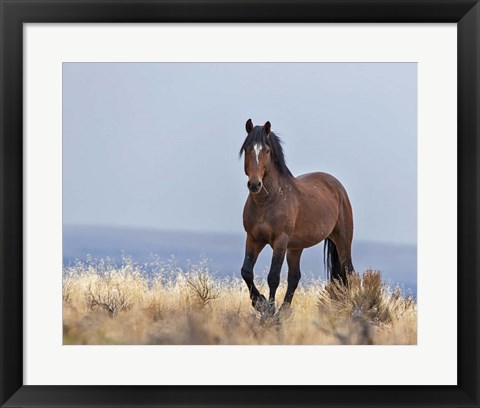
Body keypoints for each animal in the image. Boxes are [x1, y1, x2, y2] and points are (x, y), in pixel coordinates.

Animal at [239, 118, 354, 316]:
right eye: (247, 149)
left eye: (266, 150)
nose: (254, 184)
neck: (268, 202)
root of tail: (337, 186)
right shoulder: (253, 238)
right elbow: (246, 272)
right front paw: (260, 302)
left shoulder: (280, 241)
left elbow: (273, 277)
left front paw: (269, 310)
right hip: (296, 247)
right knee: (295, 277)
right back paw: (284, 311)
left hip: (343, 240)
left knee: (348, 272)